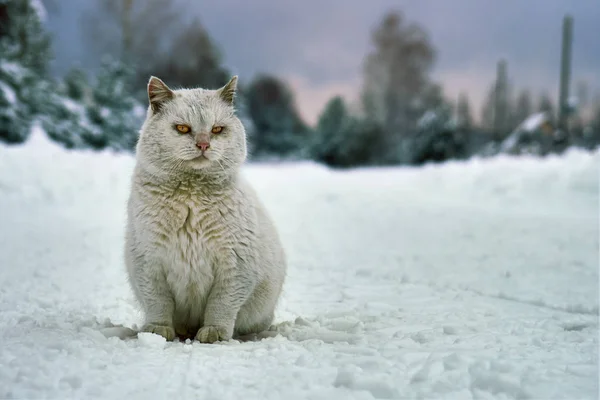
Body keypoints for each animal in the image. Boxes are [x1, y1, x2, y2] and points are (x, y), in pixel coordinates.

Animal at [123, 76, 286, 344]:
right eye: (182, 128)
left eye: (217, 130)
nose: (203, 144)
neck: (191, 195)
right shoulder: (147, 261)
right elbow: (158, 302)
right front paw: (157, 330)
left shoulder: (236, 266)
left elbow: (221, 305)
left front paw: (214, 333)